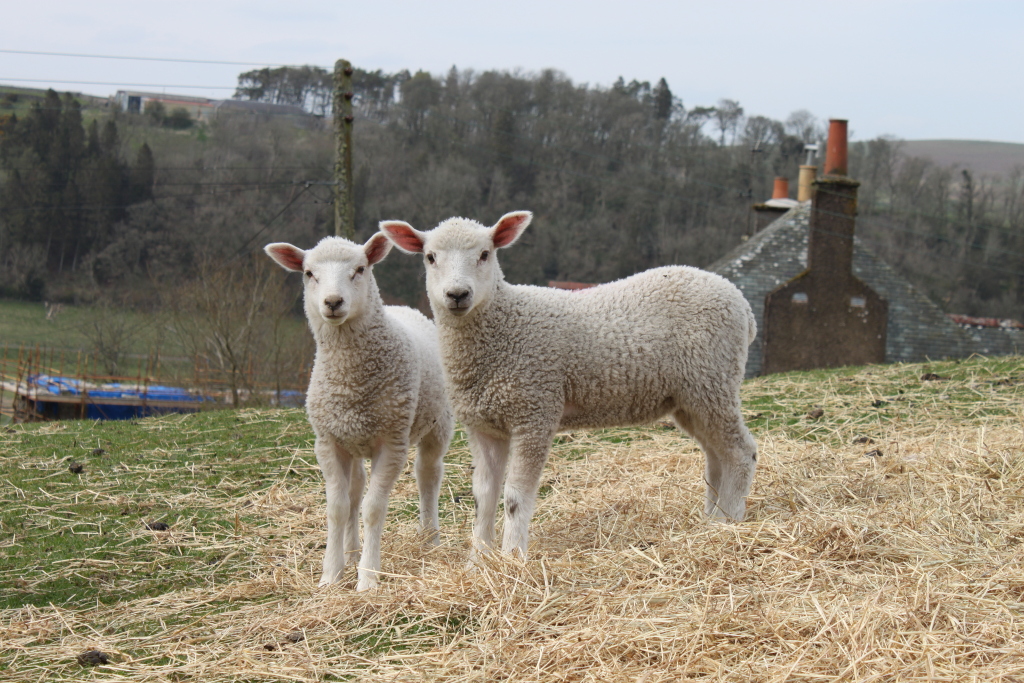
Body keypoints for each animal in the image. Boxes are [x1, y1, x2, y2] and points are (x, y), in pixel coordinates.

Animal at [264, 233, 454, 591]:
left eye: (360, 269)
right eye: (308, 273)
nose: (333, 302)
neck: (350, 380)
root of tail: (402, 308)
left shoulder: (392, 442)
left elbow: (374, 509)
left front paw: (368, 578)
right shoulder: (328, 442)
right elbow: (338, 507)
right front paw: (331, 574)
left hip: (437, 425)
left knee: (428, 476)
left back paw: (429, 540)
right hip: (353, 439)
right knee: (354, 491)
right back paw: (351, 551)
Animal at [380, 211, 758, 561]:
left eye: (486, 254)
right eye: (430, 257)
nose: (458, 294)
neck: (502, 326)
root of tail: (741, 302)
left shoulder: (535, 410)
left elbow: (515, 495)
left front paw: (513, 557)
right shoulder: (484, 424)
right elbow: (483, 497)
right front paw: (479, 561)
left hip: (712, 379)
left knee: (741, 452)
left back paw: (729, 521)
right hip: (691, 396)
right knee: (716, 456)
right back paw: (710, 519)